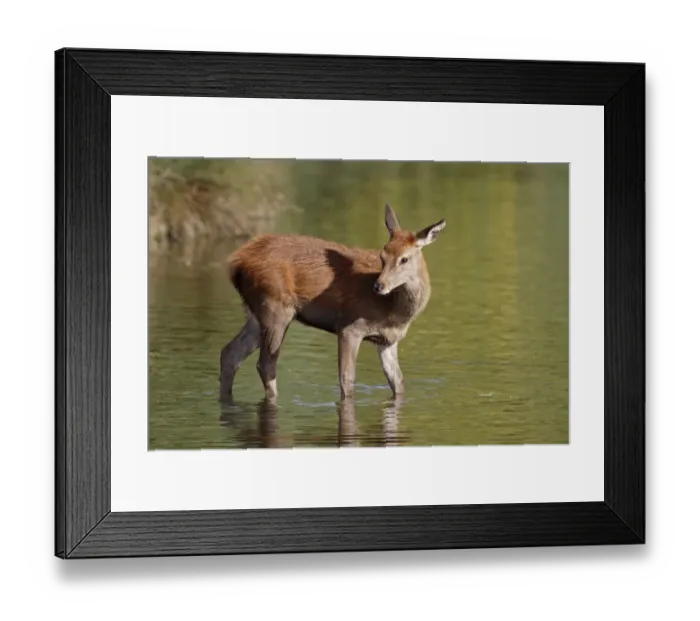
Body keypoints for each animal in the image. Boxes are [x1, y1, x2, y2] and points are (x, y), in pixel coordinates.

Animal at [219, 204, 446, 403]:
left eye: (404, 259)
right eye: (382, 256)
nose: (379, 285)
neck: (393, 311)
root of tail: (236, 263)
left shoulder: (387, 341)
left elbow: (398, 382)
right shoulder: (349, 328)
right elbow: (347, 380)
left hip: (255, 312)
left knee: (230, 353)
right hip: (275, 308)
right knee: (266, 364)